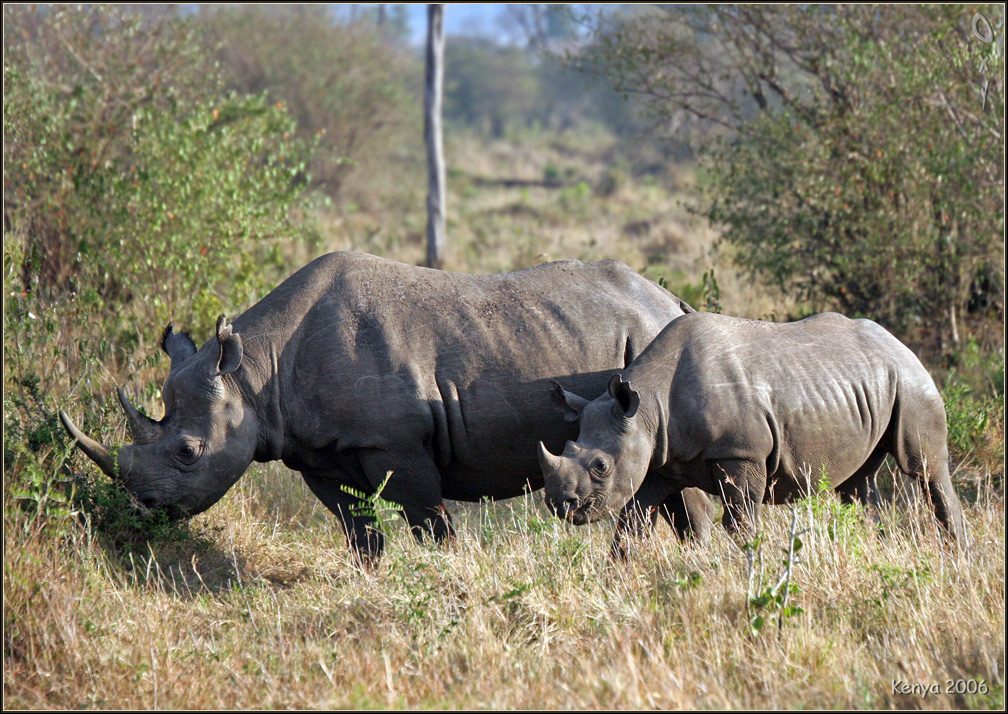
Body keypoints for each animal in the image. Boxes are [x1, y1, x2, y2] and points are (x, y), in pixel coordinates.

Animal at [60, 250, 713, 562]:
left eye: (190, 453)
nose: (143, 514)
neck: (253, 376)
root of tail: (671, 301)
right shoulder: (319, 451)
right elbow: (358, 531)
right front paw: (371, 577)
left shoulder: (396, 442)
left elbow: (430, 523)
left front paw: (450, 575)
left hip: (648, 352)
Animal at [537, 311, 967, 553]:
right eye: (567, 446)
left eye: (600, 467)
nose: (560, 505)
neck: (648, 408)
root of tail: (899, 342)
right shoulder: (658, 461)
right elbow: (632, 524)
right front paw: (618, 578)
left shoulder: (740, 453)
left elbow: (740, 521)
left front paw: (747, 564)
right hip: (869, 381)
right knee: (859, 484)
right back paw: (878, 550)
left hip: (910, 380)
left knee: (924, 468)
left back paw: (957, 556)